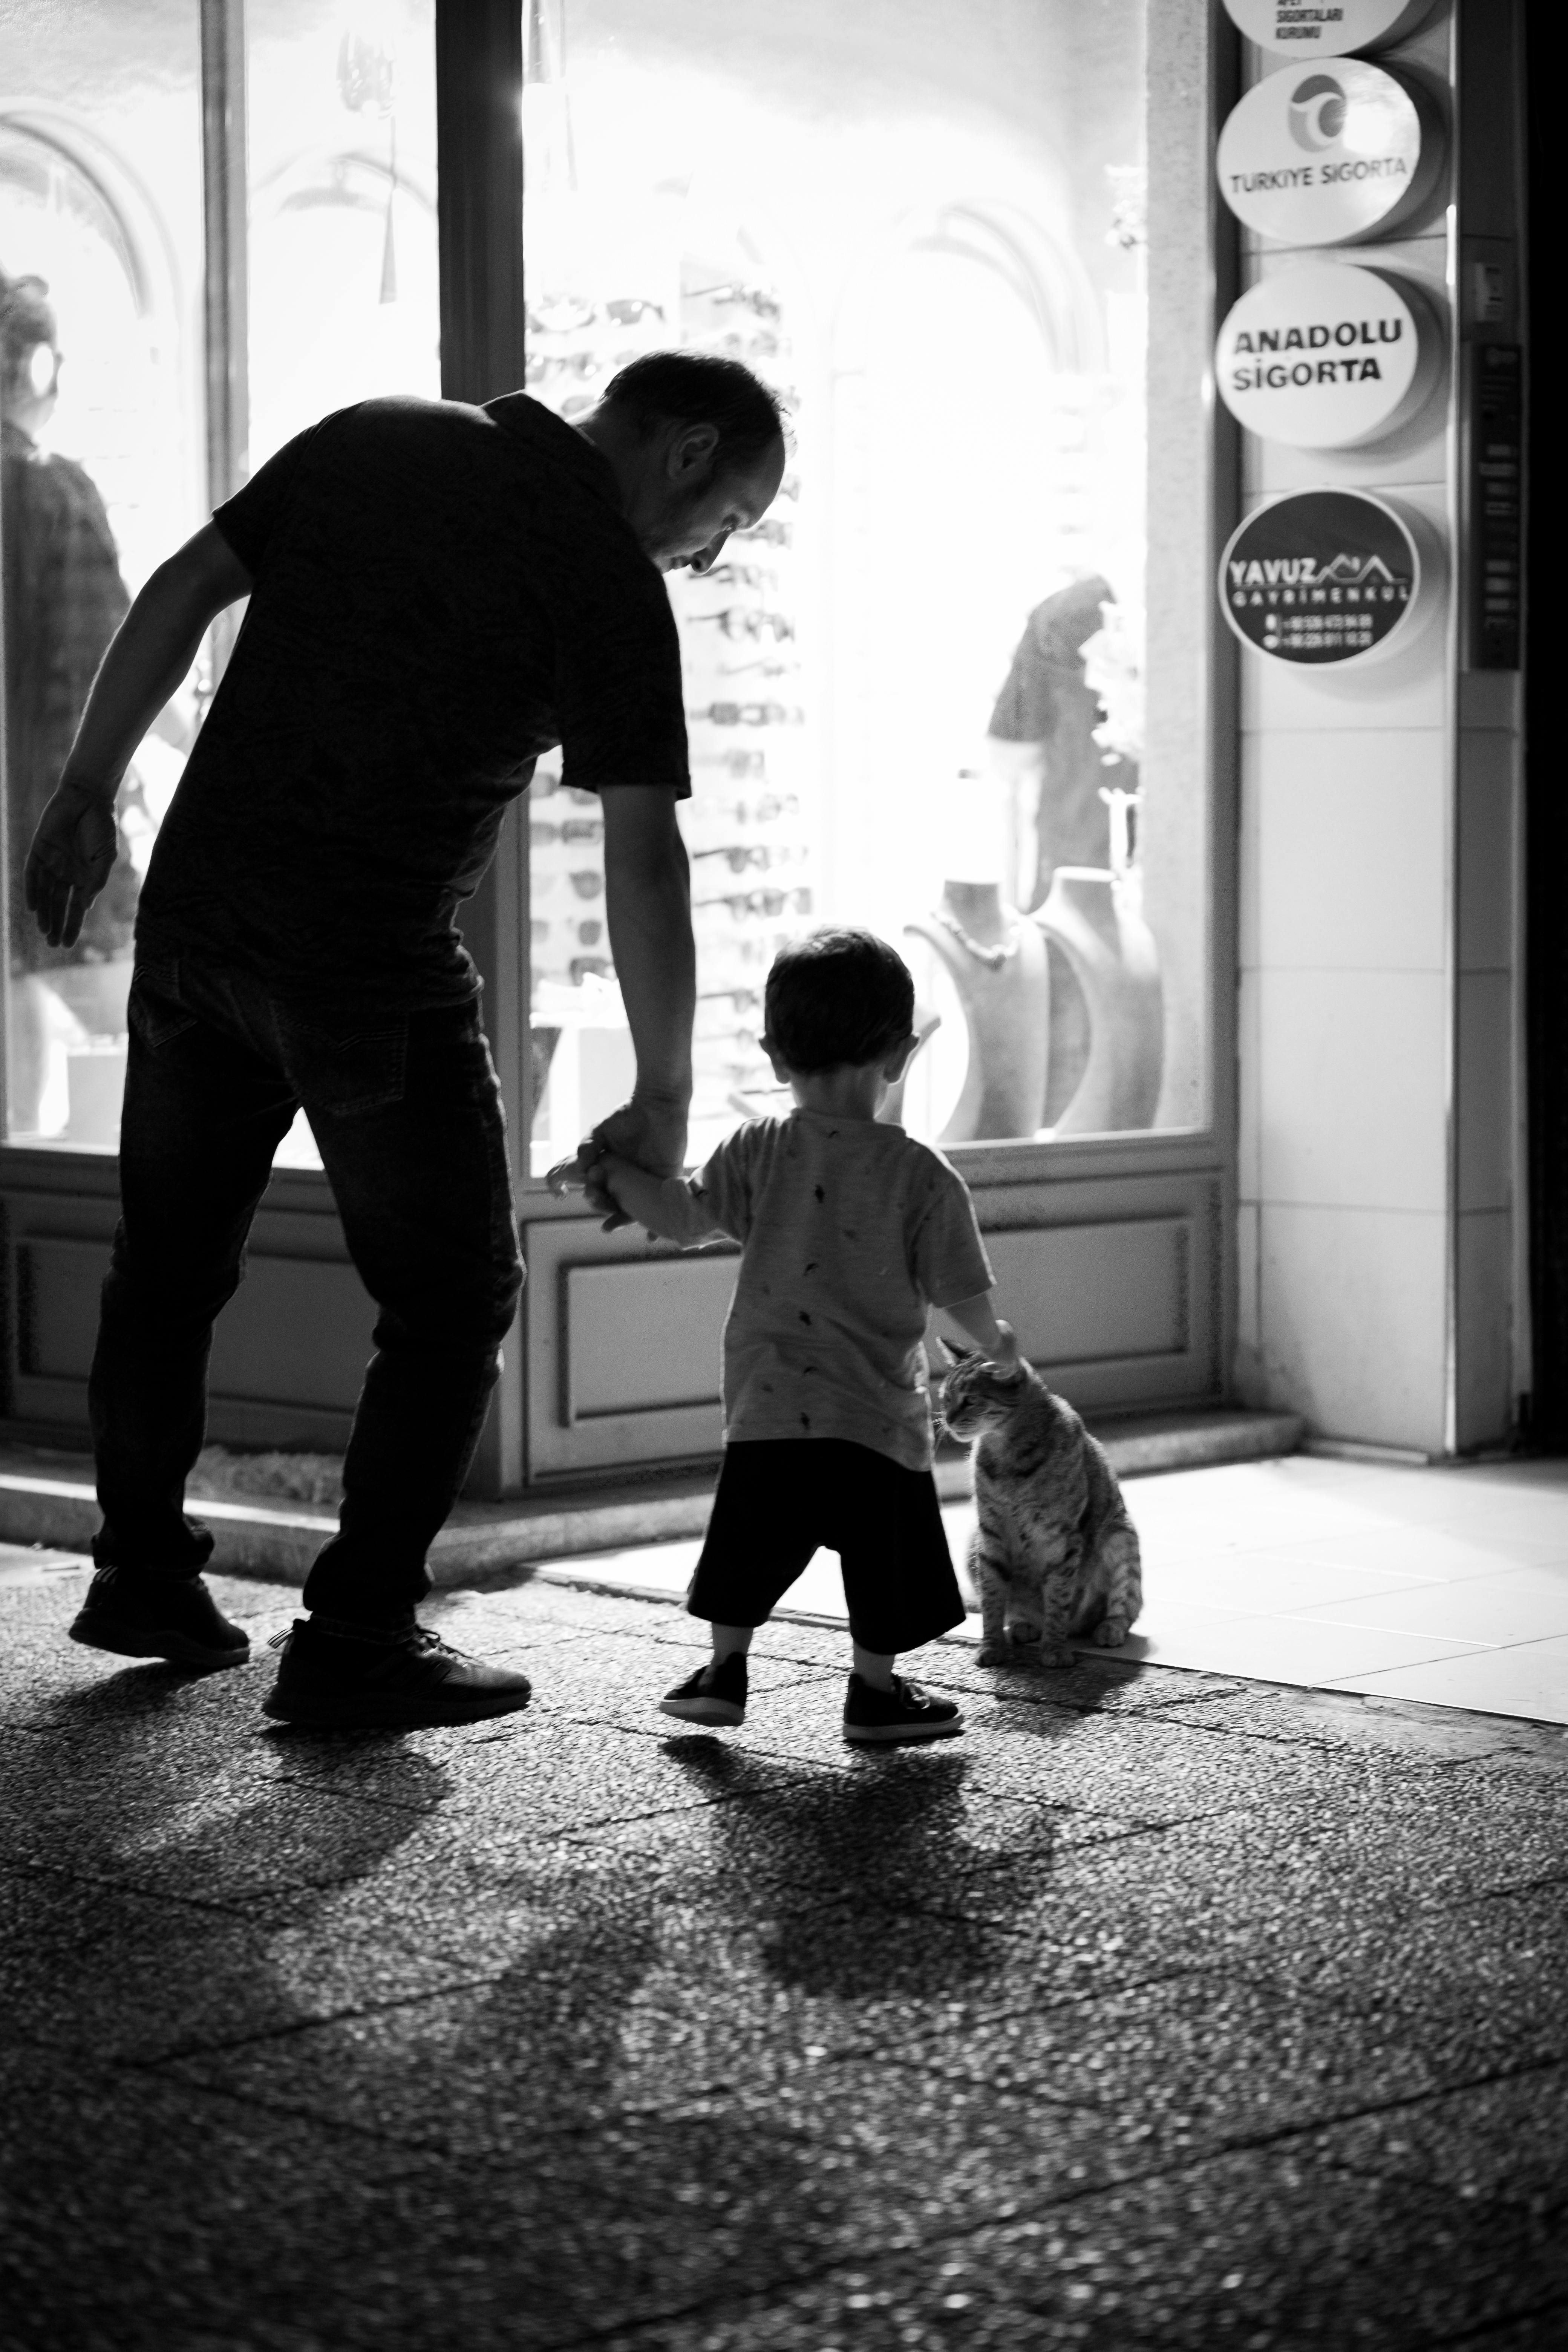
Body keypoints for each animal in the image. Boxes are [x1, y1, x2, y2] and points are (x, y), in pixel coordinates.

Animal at [940, 1345, 1147, 1674]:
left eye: (970, 1400)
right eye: (945, 1399)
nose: (947, 1420)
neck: (1007, 1453)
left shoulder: (1061, 1538)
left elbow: (1058, 1600)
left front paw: (1054, 1650)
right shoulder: (990, 1535)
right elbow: (993, 1601)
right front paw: (992, 1647)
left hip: (1120, 1537)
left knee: (1127, 1607)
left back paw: (1108, 1629)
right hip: (972, 1545)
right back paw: (1023, 1626)